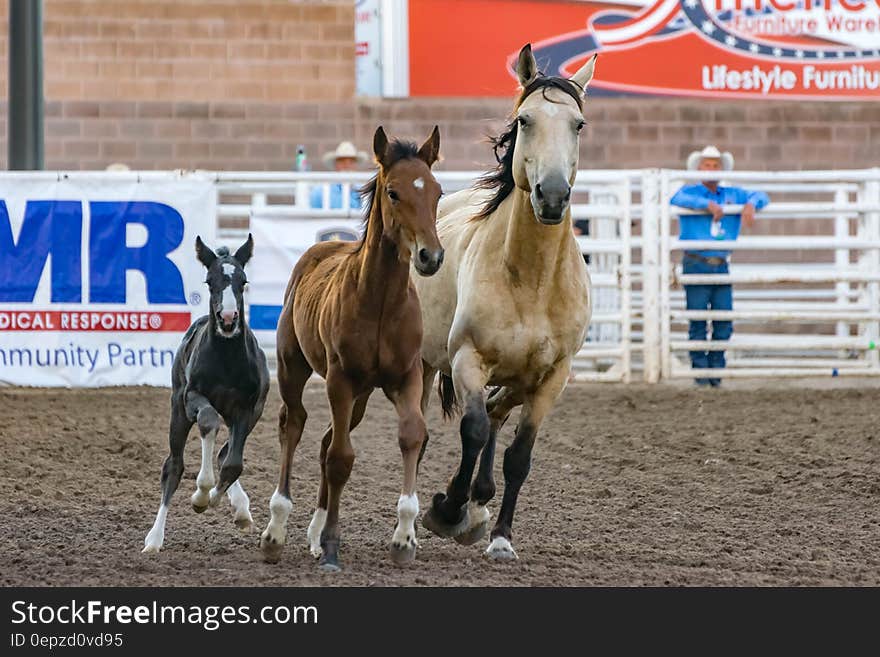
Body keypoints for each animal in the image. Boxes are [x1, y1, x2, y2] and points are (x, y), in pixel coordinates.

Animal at [258, 127, 444, 568]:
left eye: (437, 191)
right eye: (393, 192)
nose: (431, 256)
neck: (380, 302)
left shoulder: (407, 376)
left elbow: (412, 435)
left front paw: (404, 539)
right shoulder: (339, 379)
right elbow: (342, 459)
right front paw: (330, 545)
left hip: (360, 396)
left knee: (327, 439)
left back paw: (310, 533)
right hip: (295, 368)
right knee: (294, 424)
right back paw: (276, 530)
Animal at [414, 44, 600, 560]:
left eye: (579, 124)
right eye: (524, 120)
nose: (552, 195)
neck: (532, 281)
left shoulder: (552, 378)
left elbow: (519, 455)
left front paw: (500, 537)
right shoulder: (467, 359)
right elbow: (473, 430)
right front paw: (446, 510)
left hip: (519, 377)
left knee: (499, 412)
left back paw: (481, 504)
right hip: (423, 364)